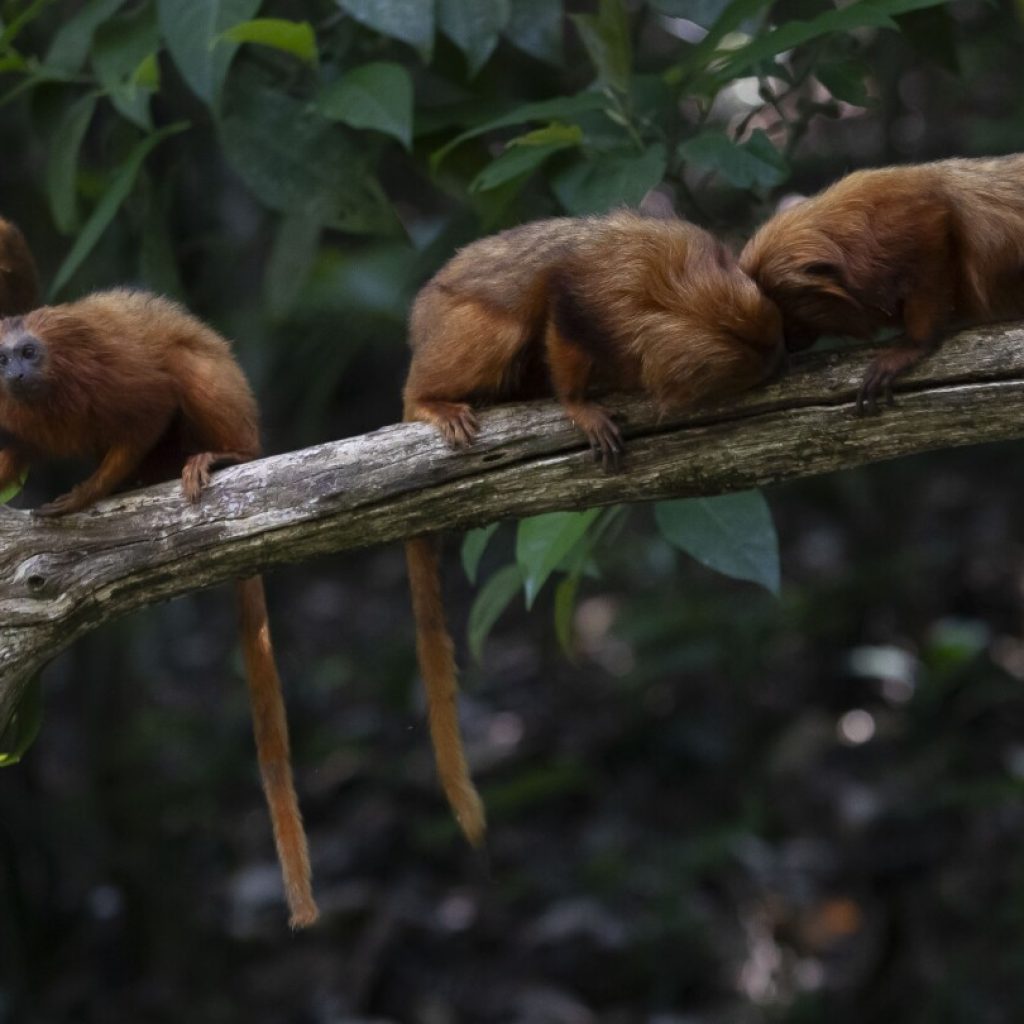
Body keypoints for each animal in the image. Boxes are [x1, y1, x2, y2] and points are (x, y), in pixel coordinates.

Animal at [0, 288, 317, 929]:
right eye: (3, 358)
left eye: (28, 353)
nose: (14, 372)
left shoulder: (107, 373)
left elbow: (150, 402)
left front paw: (86, 494)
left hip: (235, 412)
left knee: (186, 364)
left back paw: (222, 456)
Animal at [401, 209, 782, 847]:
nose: (780, 359)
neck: (671, 290)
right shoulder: (595, 300)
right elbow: (559, 311)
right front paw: (578, 406)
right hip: (447, 333)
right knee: (497, 329)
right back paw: (430, 401)